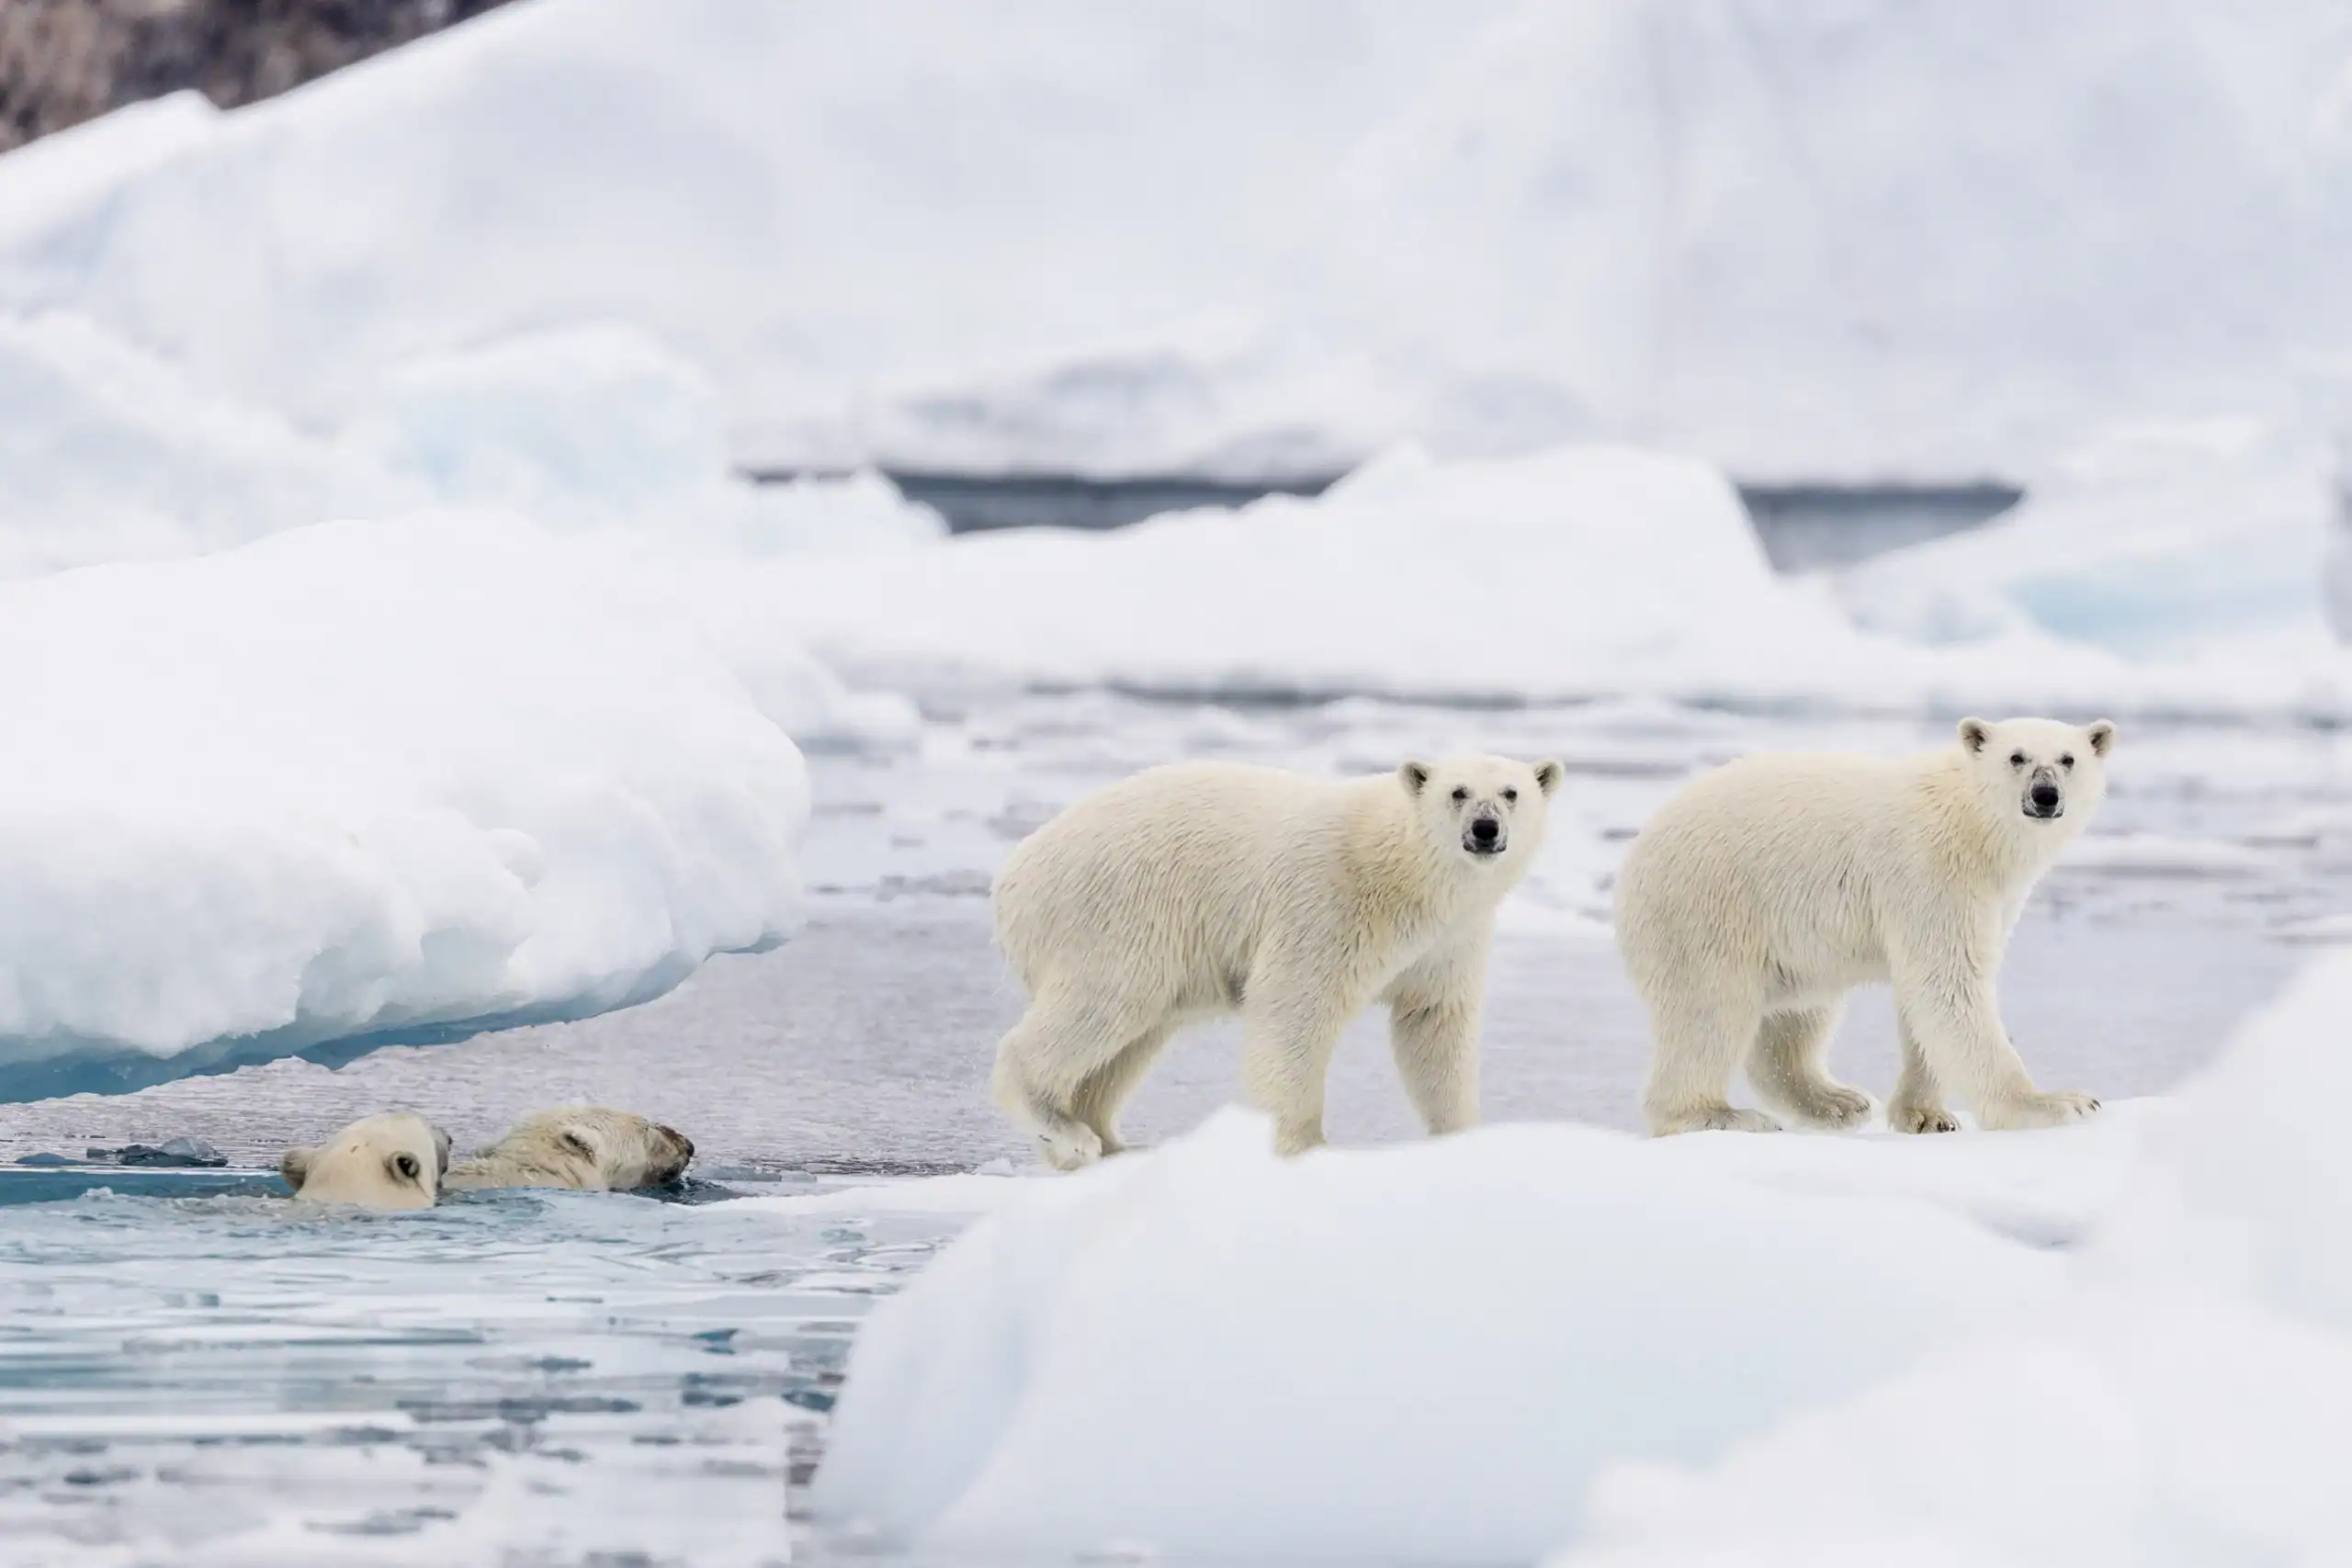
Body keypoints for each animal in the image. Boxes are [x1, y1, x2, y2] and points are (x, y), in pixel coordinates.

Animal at [990, 754, 1563, 1169]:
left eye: (1512, 793)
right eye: (1458, 792)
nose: (1485, 829)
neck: (1407, 874)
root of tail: (1011, 874)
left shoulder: (1448, 941)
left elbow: (1433, 1025)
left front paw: (1463, 1137)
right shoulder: (1329, 906)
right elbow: (1295, 1009)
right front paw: (1303, 1147)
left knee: (1132, 1040)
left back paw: (1112, 1142)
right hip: (1116, 915)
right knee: (1104, 1004)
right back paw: (1070, 1134)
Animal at [1615, 715, 2116, 1137]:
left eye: (2068, 759)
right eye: (2017, 757)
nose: (2046, 796)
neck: (1972, 825)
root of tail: (1634, 858)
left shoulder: (1991, 896)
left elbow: (1922, 993)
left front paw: (1925, 1115)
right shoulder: (1932, 872)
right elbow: (1948, 984)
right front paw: (2061, 1103)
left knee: (1795, 1019)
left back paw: (1837, 1102)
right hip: (1707, 909)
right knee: (1710, 1009)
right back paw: (1719, 1114)